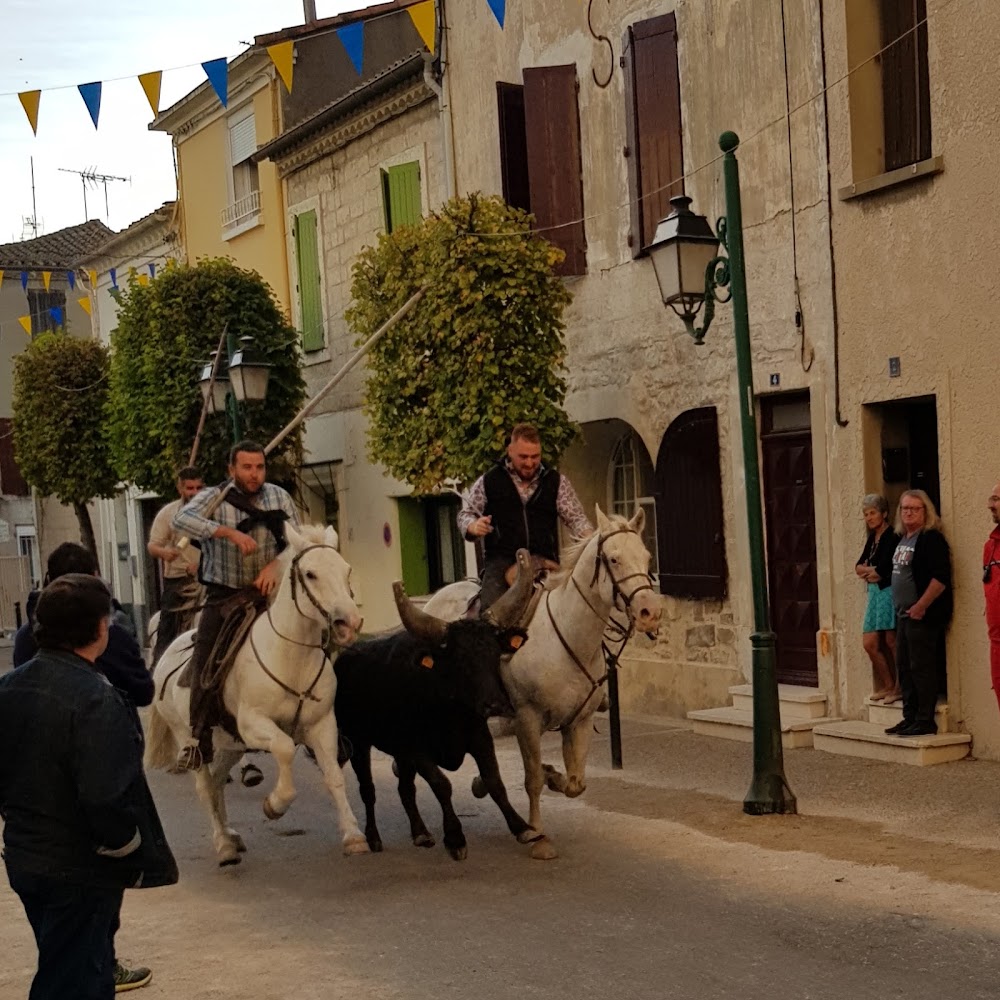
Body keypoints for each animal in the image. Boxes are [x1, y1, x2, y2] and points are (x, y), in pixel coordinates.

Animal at [146, 524, 370, 868]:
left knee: (217, 781)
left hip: (230, 744)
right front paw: (275, 805)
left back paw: (231, 836)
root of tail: (166, 653)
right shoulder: (254, 723)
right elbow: (285, 749)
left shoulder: (322, 725)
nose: (349, 623)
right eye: (310, 573)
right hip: (191, 737)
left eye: (346, 570)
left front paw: (353, 836)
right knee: (204, 786)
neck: (291, 657)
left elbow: (333, 775)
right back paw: (223, 845)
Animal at [424, 508, 664, 860]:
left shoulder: (579, 721)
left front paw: (555, 776)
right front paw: (537, 835)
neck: (566, 636)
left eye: (647, 557)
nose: (650, 612)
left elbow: (576, 783)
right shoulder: (528, 717)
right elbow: (532, 778)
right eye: (614, 559)